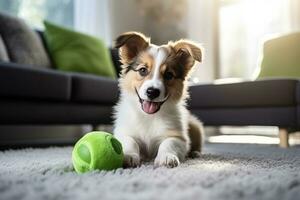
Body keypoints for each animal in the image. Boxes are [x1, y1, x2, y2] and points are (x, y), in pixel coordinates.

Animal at [112, 32, 204, 168]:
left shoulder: (179, 137)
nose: (152, 92)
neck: (149, 117)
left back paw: (195, 153)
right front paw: (128, 156)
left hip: (195, 126)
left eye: (169, 75)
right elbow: (130, 141)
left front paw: (166, 157)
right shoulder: (123, 132)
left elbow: (169, 143)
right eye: (142, 70)